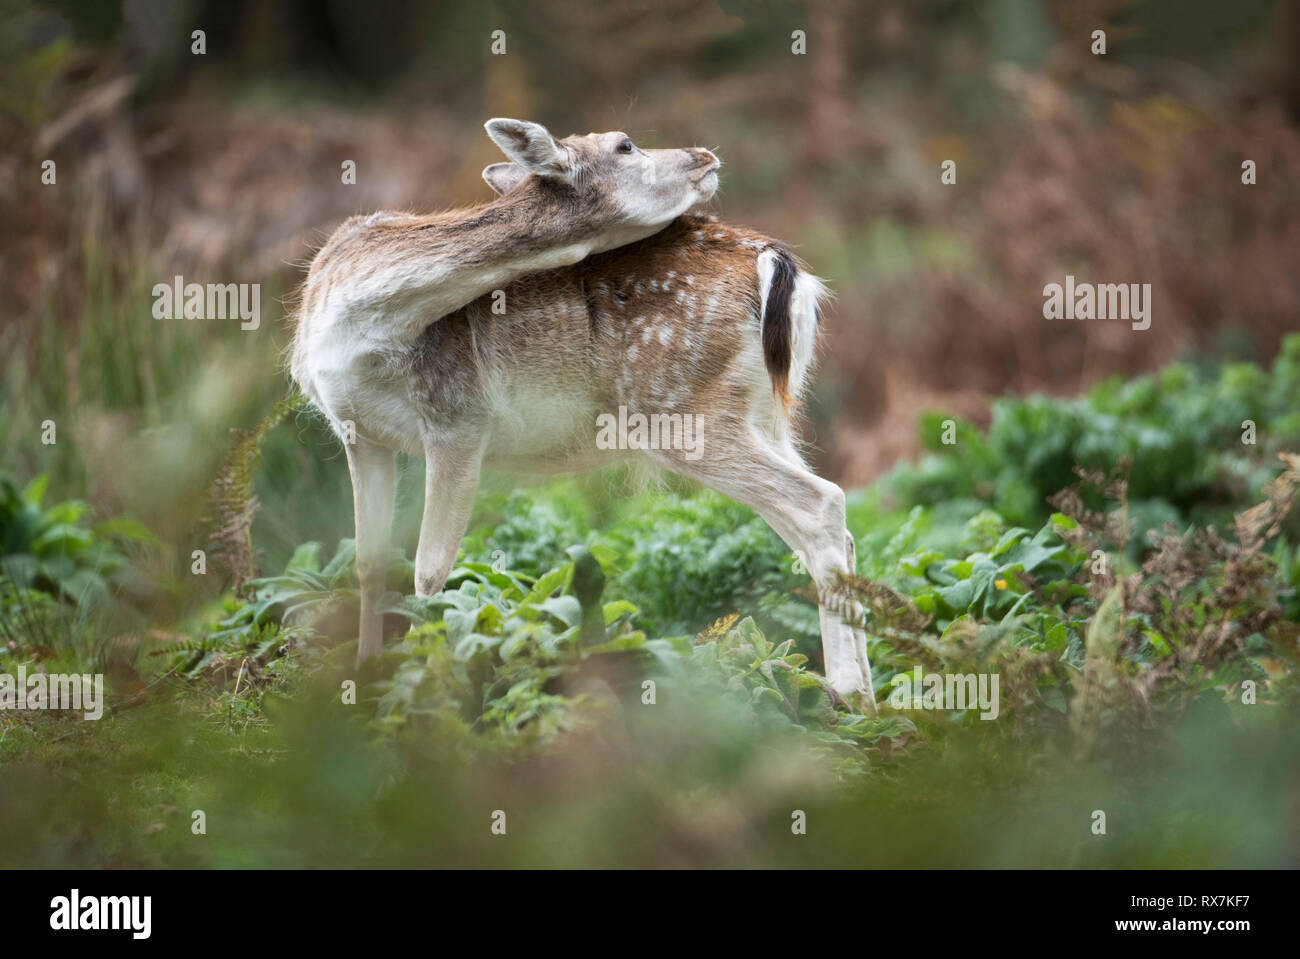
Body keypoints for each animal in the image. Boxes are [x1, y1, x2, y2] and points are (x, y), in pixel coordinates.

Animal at [291, 117, 878, 701]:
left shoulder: (458, 416)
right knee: (826, 528)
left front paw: (419, 689)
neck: (358, 315)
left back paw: (847, 693)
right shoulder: (358, 431)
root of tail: (780, 264)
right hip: (761, 413)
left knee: (821, 503)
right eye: (625, 145)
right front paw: (365, 679)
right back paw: (868, 696)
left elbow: (429, 572)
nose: (705, 155)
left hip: (683, 411)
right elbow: (368, 566)